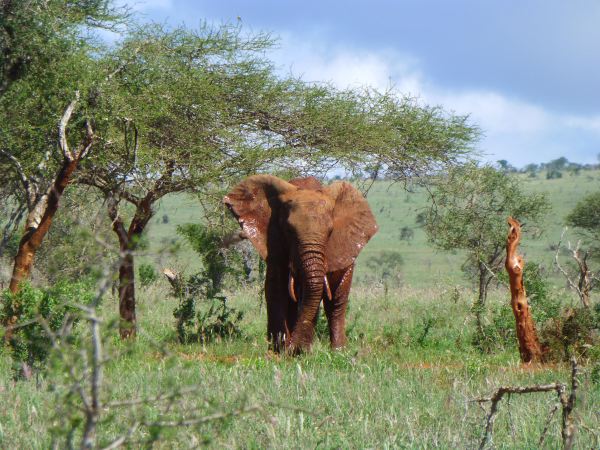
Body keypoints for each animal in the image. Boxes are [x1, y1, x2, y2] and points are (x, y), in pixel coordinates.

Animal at [223, 174, 378, 354]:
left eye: (330, 232)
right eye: (288, 230)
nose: (292, 347)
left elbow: (312, 293)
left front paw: (299, 350)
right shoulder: (274, 242)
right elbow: (276, 290)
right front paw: (278, 351)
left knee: (336, 302)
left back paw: (338, 351)